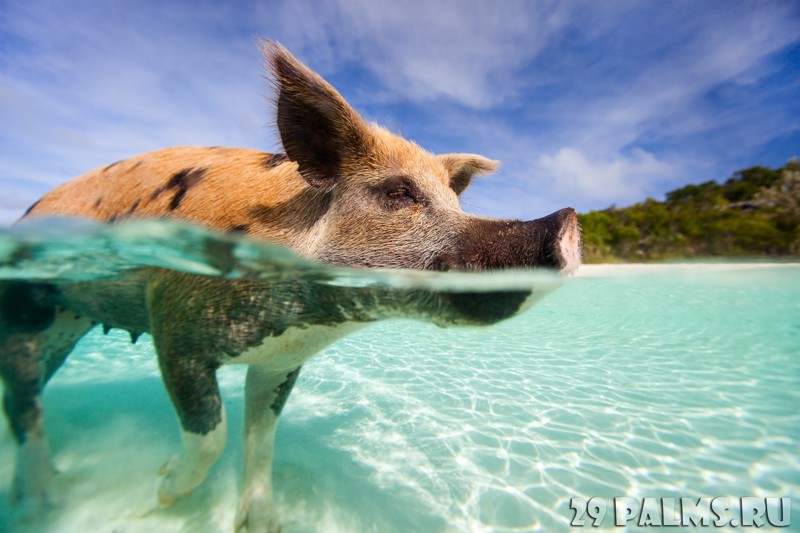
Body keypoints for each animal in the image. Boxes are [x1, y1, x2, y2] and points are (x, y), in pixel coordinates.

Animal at [0, 42, 580, 532]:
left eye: (456, 203)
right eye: (398, 193)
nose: (567, 221)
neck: (310, 315)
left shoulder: (280, 360)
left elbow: (262, 437)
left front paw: (264, 524)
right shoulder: (172, 326)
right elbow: (212, 433)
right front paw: (161, 491)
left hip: (67, 323)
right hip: (28, 309)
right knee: (25, 400)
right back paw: (46, 501)